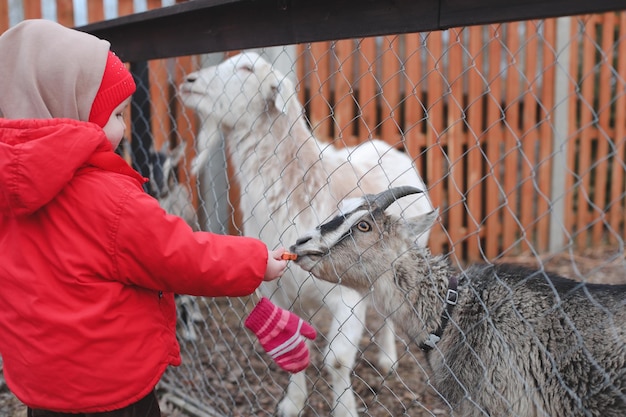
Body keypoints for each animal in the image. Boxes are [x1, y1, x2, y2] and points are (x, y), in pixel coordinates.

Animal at [178, 52, 432, 416]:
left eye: (246, 69)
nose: (189, 83)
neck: (301, 185)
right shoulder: (279, 289)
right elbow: (295, 348)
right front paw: (293, 403)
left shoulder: (346, 295)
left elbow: (337, 360)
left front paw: (344, 409)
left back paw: (387, 358)